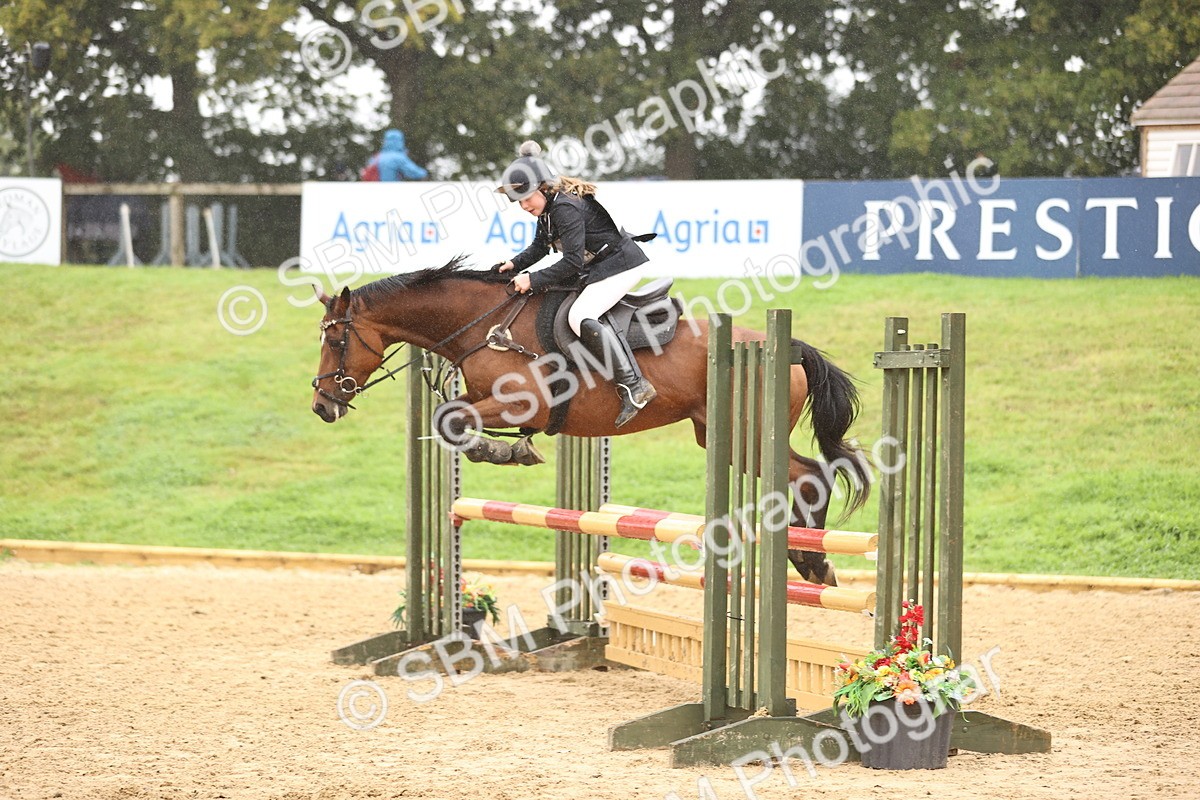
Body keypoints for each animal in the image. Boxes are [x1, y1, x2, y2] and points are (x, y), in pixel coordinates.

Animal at [310, 257, 871, 585]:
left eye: (335, 339)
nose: (321, 405)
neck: (482, 325)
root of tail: (785, 347)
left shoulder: (525, 402)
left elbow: (449, 418)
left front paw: (506, 450)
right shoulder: (482, 396)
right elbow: (449, 416)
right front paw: (510, 449)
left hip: (744, 434)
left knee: (811, 475)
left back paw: (813, 558)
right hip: (721, 435)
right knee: (808, 475)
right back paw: (808, 558)